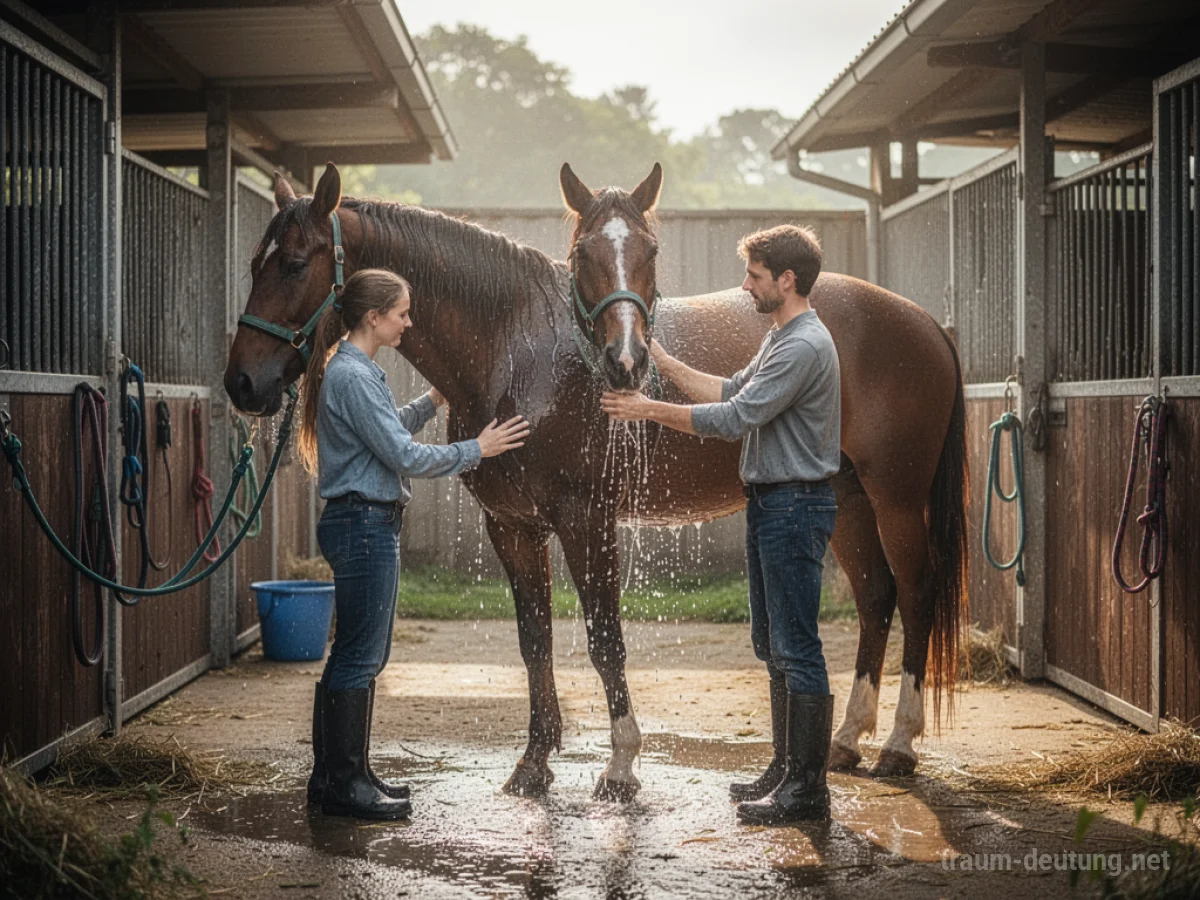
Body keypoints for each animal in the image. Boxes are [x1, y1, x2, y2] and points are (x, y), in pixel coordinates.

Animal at [223, 161, 966, 801]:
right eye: (258, 263)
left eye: (295, 263)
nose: (242, 381)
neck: (523, 351)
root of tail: (924, 321)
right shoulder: (513, 525)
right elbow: (535, 640)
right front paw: (533, 765)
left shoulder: (587, 521)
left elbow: (605, 638)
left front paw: (620, 767)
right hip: (846, 500)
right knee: (876, 598)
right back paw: (847, 741)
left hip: (896, 499)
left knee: (917, 592)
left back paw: (898, 745)